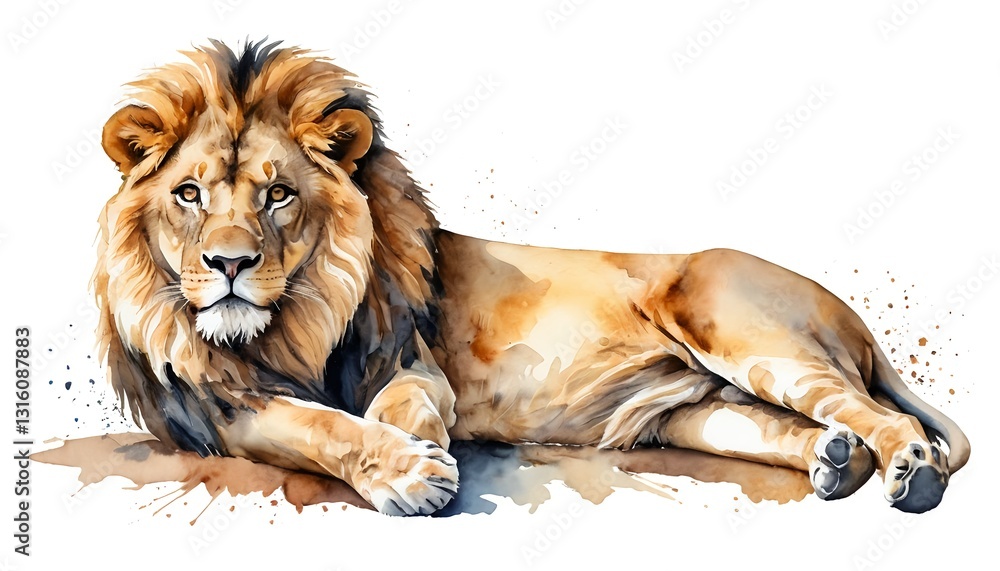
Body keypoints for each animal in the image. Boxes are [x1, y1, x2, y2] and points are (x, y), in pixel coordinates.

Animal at [94, 40, 969, 516]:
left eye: (278, 195)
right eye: (189, 194)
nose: (229, 264)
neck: (295, 323)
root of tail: (853, 317)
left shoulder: (411, 361)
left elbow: (394, 407)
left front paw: (418, 452)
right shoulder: (224, 409)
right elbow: (322, 426)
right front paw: (410, 465)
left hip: (746, 333)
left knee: (881, 413)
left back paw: (911, 472)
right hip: (698, 412)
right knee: (805, 427)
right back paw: (836, 461)